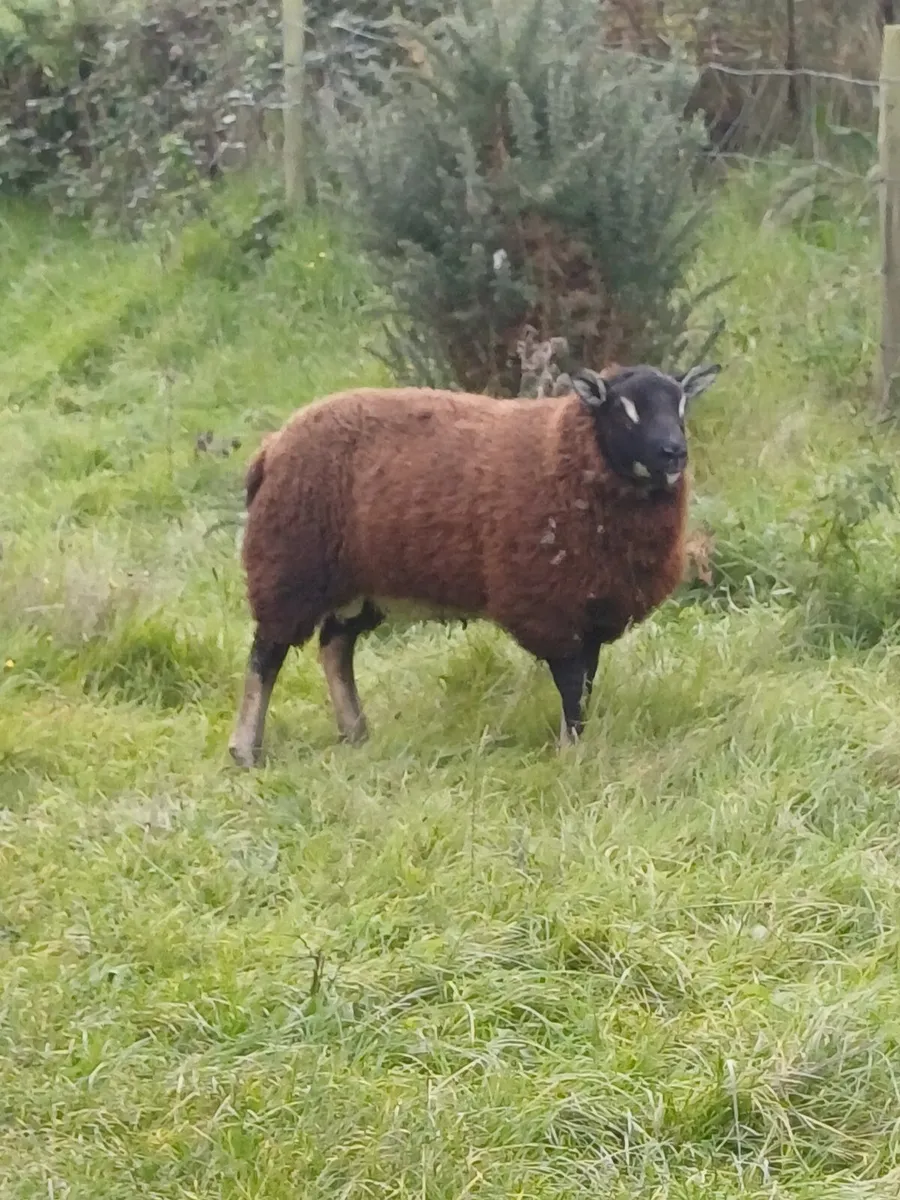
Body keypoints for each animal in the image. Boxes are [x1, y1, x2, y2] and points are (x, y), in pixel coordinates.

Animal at [228, 361, 721, 766]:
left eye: (681, 404)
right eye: (624, 409)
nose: (674, 452)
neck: (567, 453)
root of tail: (271, 447)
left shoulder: (593, 608)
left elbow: (585, 684)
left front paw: (580, 741)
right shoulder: (549, 607)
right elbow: (570, 683)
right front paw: (570, 752)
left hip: (360, 584)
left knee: (335, 646)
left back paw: (355, 733)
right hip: (289, 568)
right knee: (266, 656)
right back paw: (246, 749)